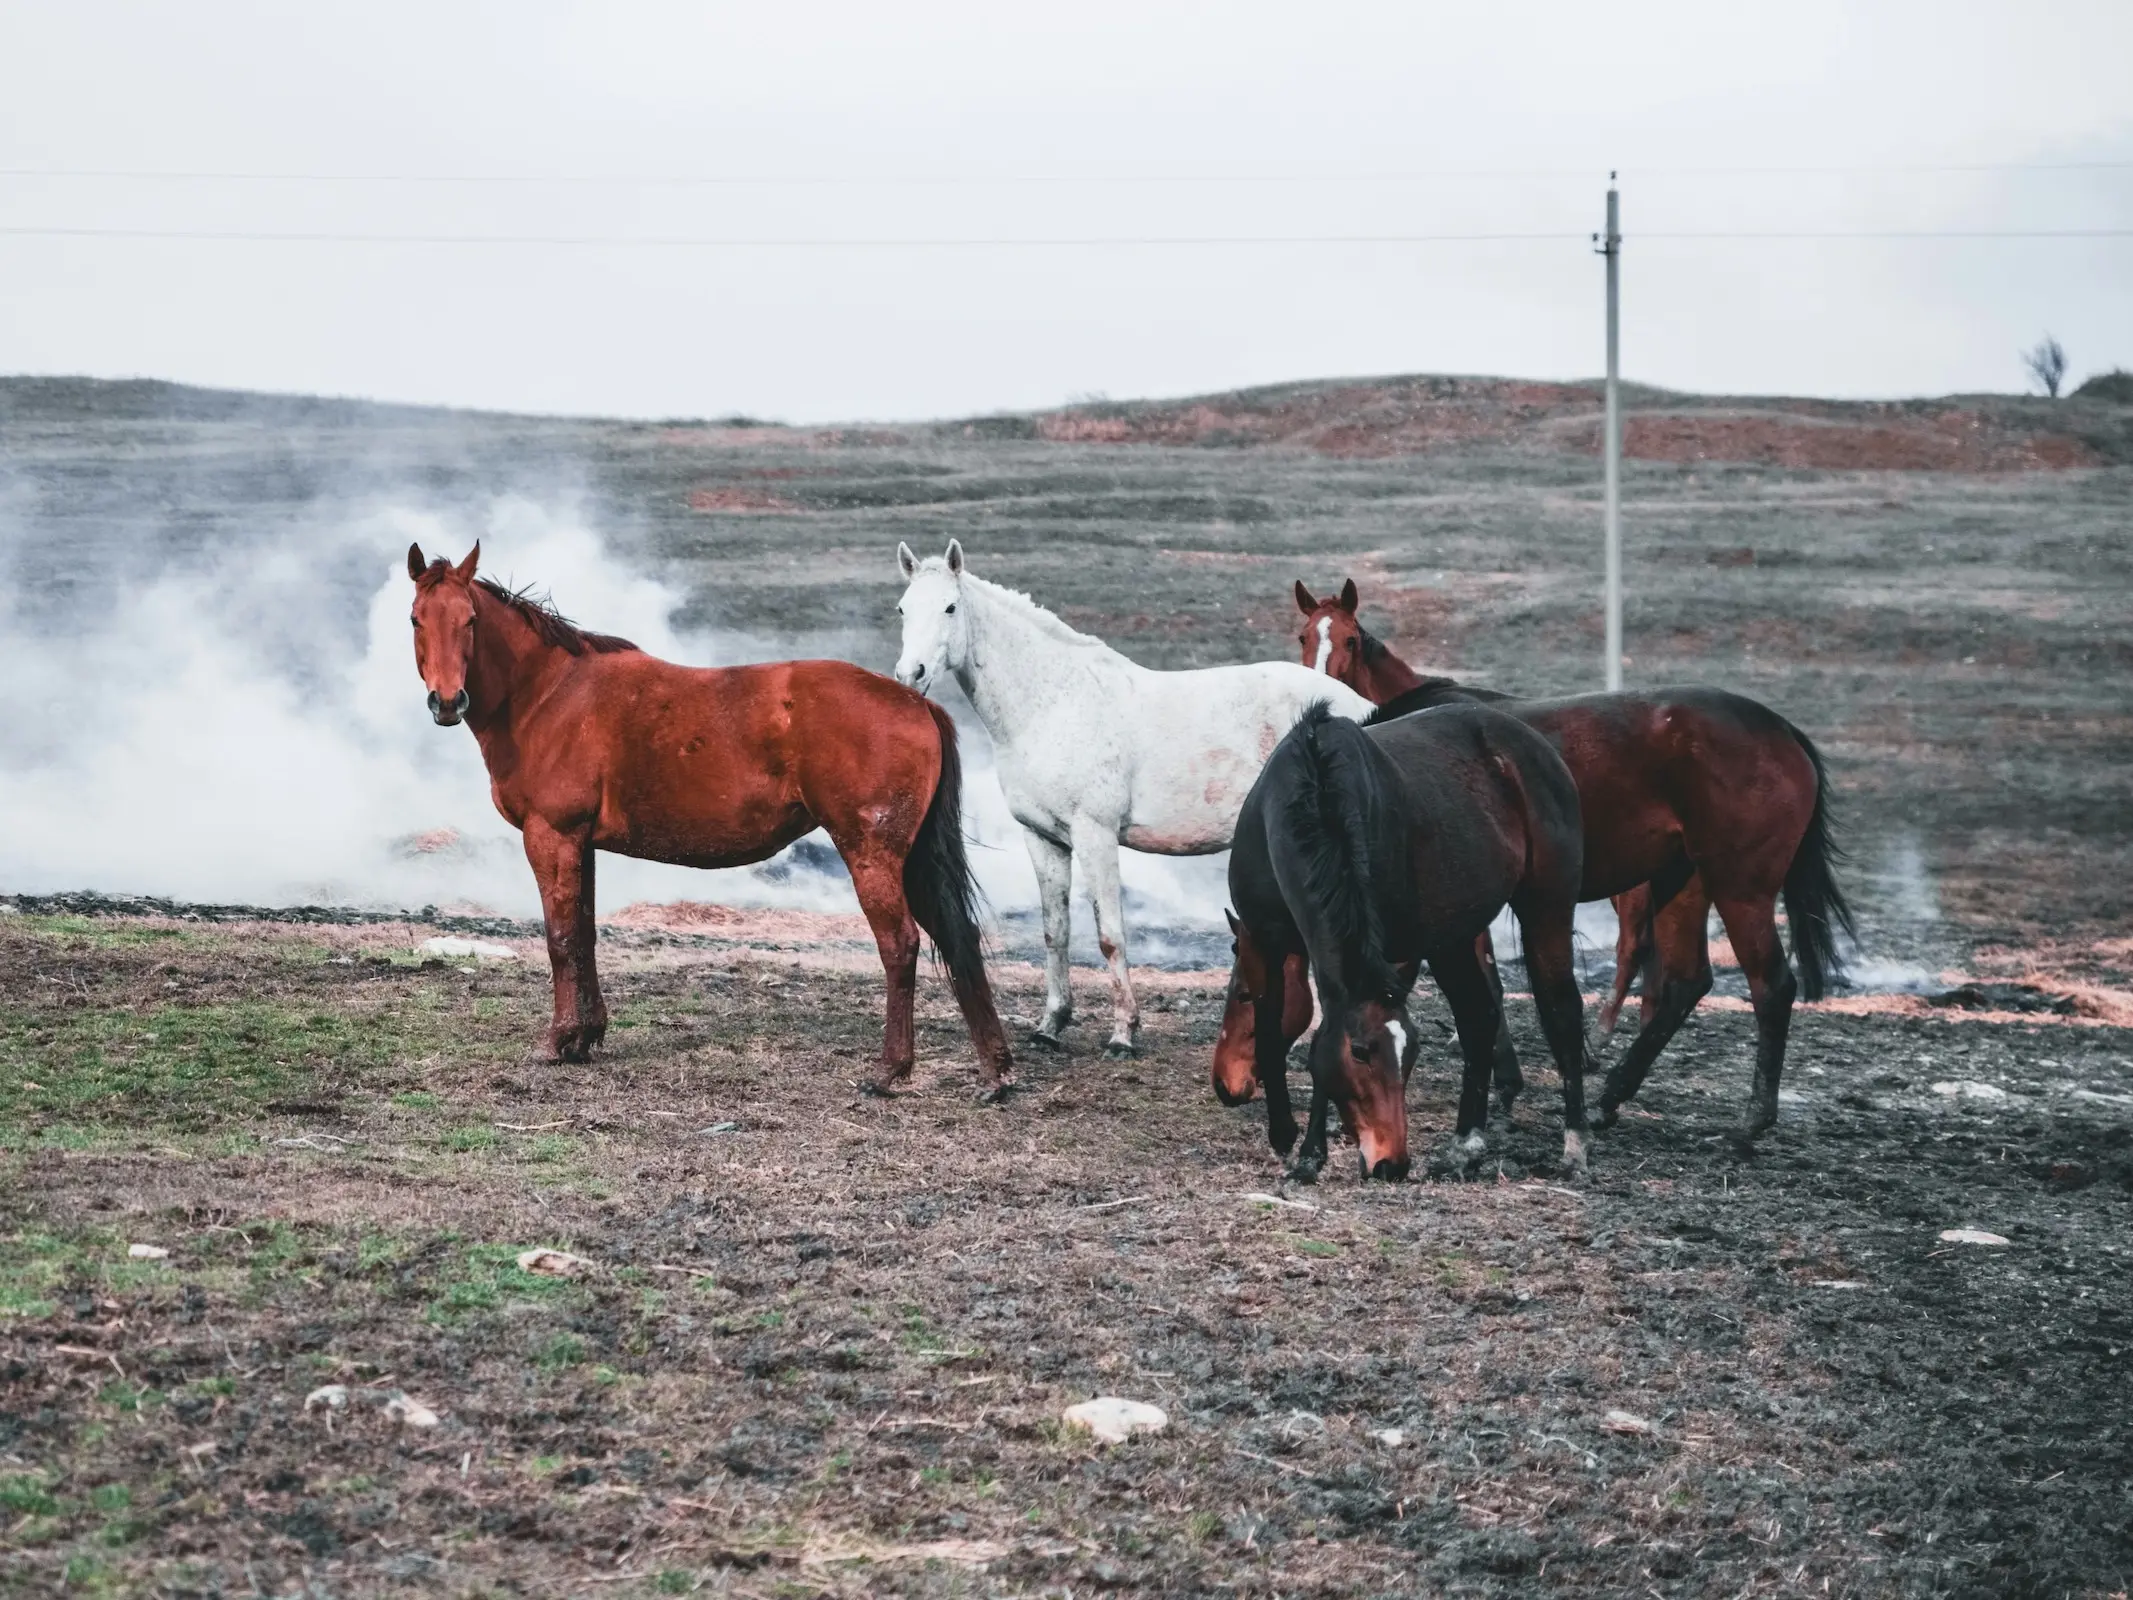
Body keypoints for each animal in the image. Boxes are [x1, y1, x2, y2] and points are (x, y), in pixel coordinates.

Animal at [418, 546, 1023, 1100]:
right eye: (417, 618)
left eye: (469, 620)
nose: (447, 701)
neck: (549, 692)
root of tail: (915, 703)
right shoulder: (580, 845)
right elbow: (584, 932)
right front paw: (586, 1037)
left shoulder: (553, 837)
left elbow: (562, 938)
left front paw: (558, 1041)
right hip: (915, 859)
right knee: (957, 936)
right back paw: (994, 1071)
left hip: (872, 854)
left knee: (900, 944)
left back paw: (890, 1070)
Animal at [891, 546, 1373, 1058]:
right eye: (903, 608)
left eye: (950, 608)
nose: (910, 675)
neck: (1053, 703)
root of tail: (1358, 709)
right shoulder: (1042, 839)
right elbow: (1055, 931)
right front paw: (1051, 1025)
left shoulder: (1094, 835)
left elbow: (1110, 936)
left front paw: (1123, 1032)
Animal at [1228, 708, 1595, 1186]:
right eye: (1361, 1052)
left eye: (1412, 1054)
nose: (1393, 1164)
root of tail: (1541, 749)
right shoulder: (1262, 939)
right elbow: (1274, 1031)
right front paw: (1287, 1138)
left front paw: (1310, 1155)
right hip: (1453, 936)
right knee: (1479, 1017)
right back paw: (1463, 1148)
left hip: (1545, 909)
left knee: (1562, 1014)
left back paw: (1574, 1148)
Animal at [1279, 576, 1851, 1143]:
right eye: (1303, 636)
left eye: (1350, 639)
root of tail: (1782, 729)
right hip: (1683, 882)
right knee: (1686, 983)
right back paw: (1610, 1097)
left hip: (1740, 887)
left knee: (1771, 986)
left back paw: (1752, 1118)